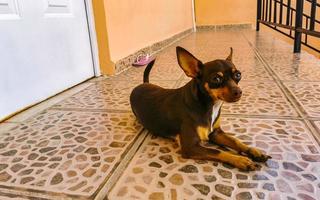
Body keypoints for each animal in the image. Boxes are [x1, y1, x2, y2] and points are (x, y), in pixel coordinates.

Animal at [130, 47, 270, 170]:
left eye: (238, 75)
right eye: (216, 78)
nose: (239, 92)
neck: (210, 105)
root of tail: (142, 84)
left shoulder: (216, 133)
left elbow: (235, 141)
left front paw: (254, 151)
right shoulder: (191, 147)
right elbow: (216, 151)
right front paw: (241, 160)